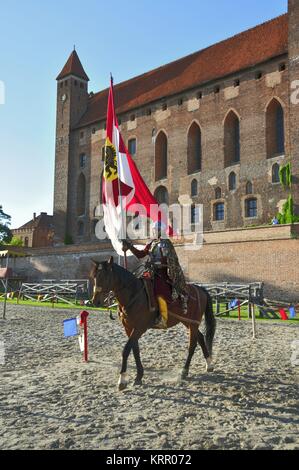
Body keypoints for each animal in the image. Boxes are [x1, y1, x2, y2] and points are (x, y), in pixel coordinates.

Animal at [91, 255, 216, 392]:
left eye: (105, 276)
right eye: (95, 276)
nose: (95, 301)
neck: (133, 293)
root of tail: (200, 288)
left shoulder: (139, 328)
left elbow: (126, 350)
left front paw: (122, 380)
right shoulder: (129, 328)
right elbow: (135, 350)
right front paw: (139, 376)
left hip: (192, 323)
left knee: (192, 345)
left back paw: (185, 370)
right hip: (188, 322)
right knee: (200, 337)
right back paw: (209, 365)